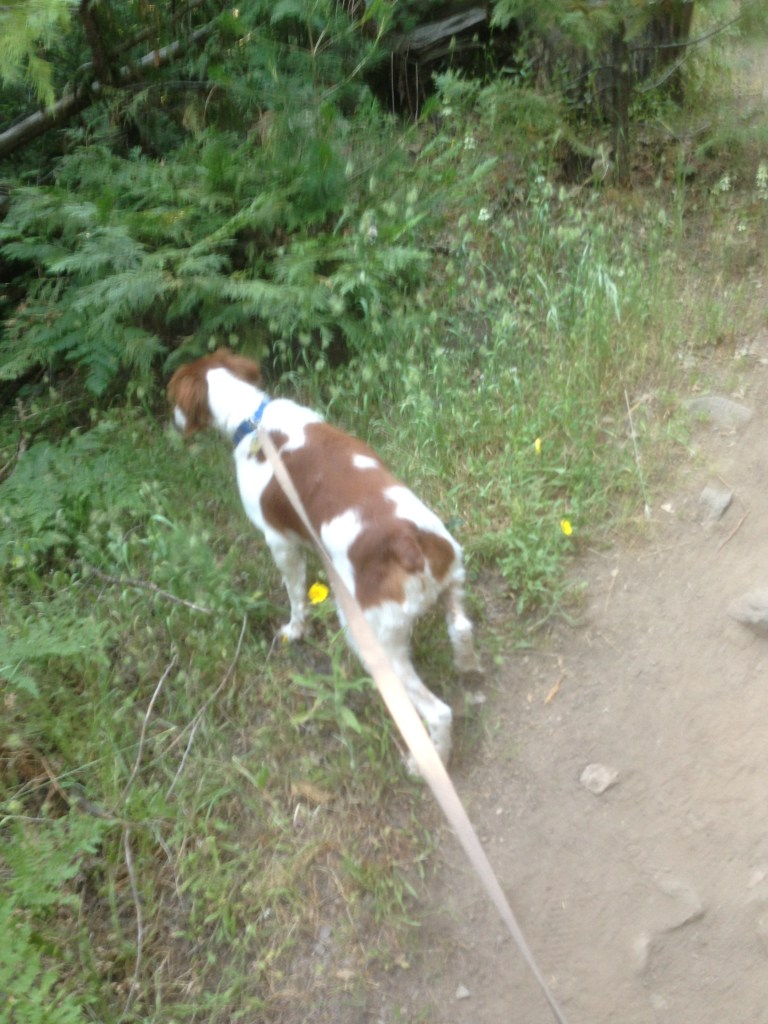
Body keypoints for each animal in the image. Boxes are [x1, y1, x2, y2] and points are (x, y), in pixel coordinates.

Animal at [167, 348, 481, 764]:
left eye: (172, 398)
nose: (172, 422)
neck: (252, 418)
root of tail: (409, 543)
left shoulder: (279, 542)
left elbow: (296, 595)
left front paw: (294, 630)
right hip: (453, 579)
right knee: (461, 630)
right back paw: (468, 667)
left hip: (374, 639)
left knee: (437, 712)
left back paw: (425, 760)